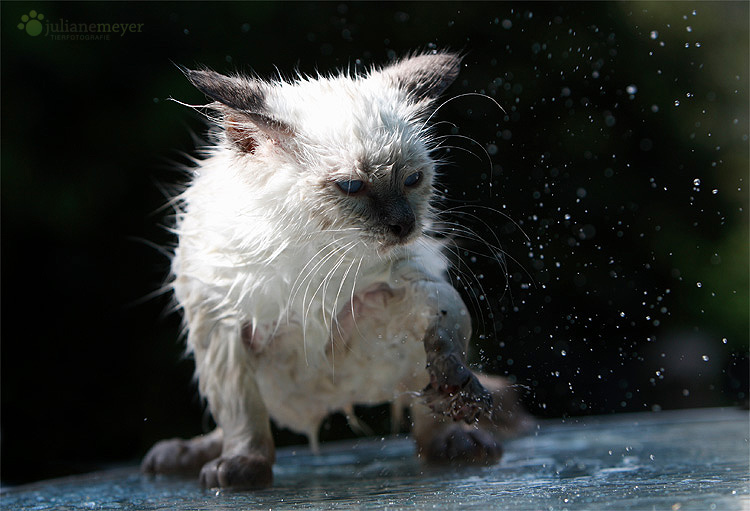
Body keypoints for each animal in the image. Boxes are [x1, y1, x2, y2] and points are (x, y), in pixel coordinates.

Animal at [142, 50, 528, 490]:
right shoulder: (225, 332)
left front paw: (457, 384)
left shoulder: (408, 287)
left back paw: (459, 441)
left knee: (428, 420)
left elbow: (445, 329)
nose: (404, 225)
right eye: (351, 186)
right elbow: (243, 423)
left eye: (412, 180)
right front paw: (243, 469)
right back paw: (181, 454)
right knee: (237, 424)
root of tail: (331, 401)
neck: (316, 258)